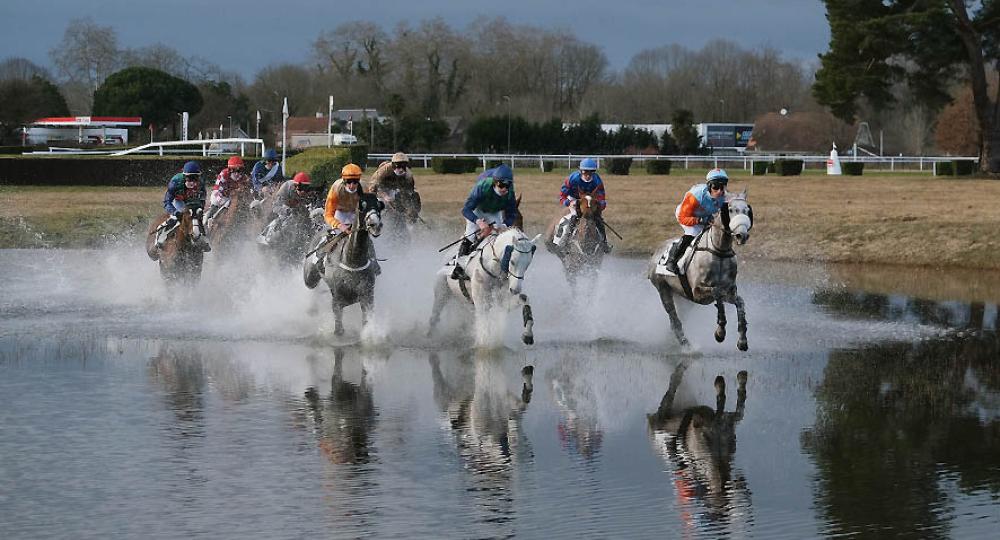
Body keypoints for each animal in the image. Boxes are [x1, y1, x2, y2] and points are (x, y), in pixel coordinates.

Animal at [648, 190, 752, 350]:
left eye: (747, 210)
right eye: (730, 210)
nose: (742, 235)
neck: (719, 251)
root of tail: (656, 253)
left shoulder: (728, 291)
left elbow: (739, 303)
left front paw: (742, 341)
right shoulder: (697, 292)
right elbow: (716, 292)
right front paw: (720, 332)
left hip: (683, 297)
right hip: (663, 289)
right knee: (674, 320)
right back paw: (686, 344)